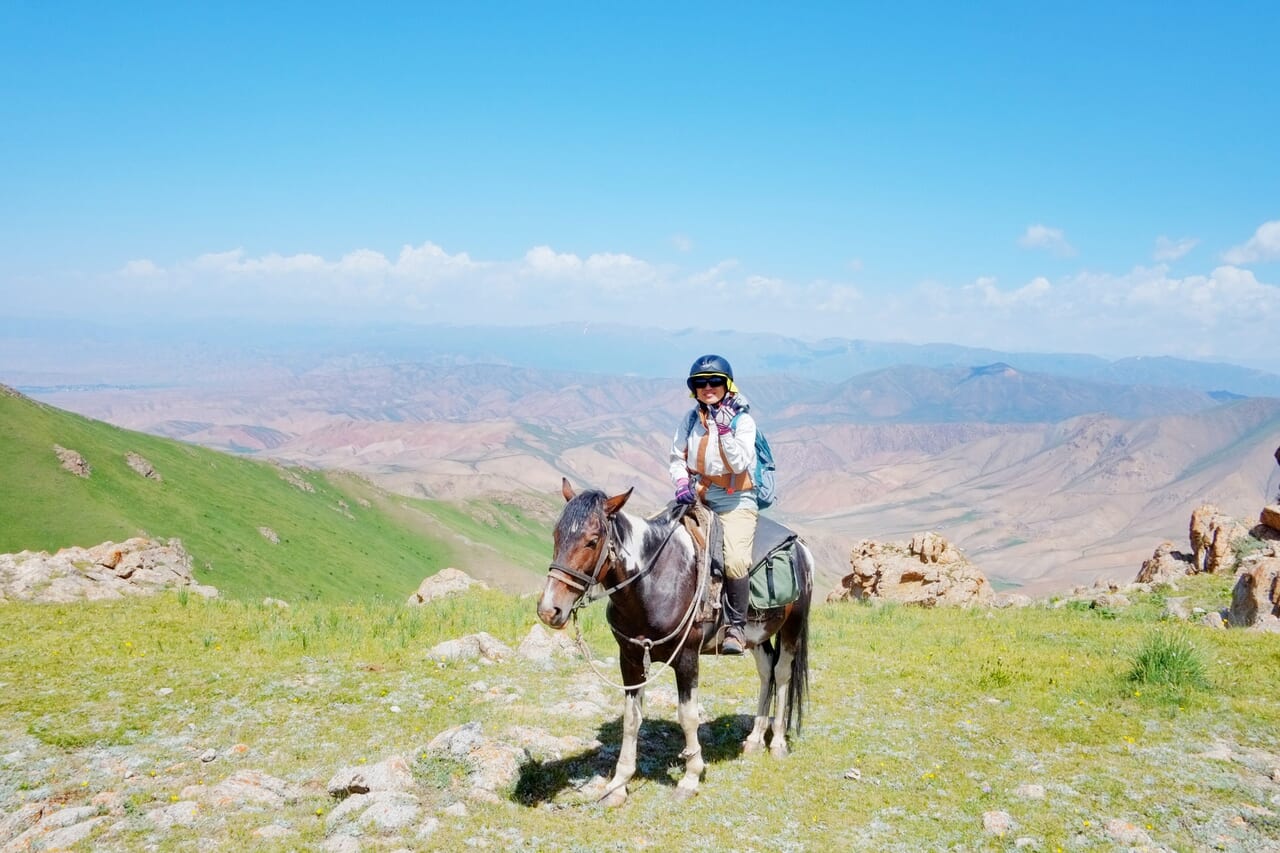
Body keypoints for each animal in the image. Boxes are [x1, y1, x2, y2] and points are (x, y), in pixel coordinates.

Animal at [535, 479, 814, 804]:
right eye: (556, 535)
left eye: (592, 541)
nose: (549, 609)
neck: (654, 582)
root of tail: (800, 547)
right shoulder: (630, 659)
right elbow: (631, 719)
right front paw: (618, 785)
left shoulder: (687, 658)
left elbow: (688, 716)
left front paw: (690, 778)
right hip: (757, 636)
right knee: (766, 671)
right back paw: (755, 740)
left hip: (792, 627)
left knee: (782, 674)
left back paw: (778, 742)